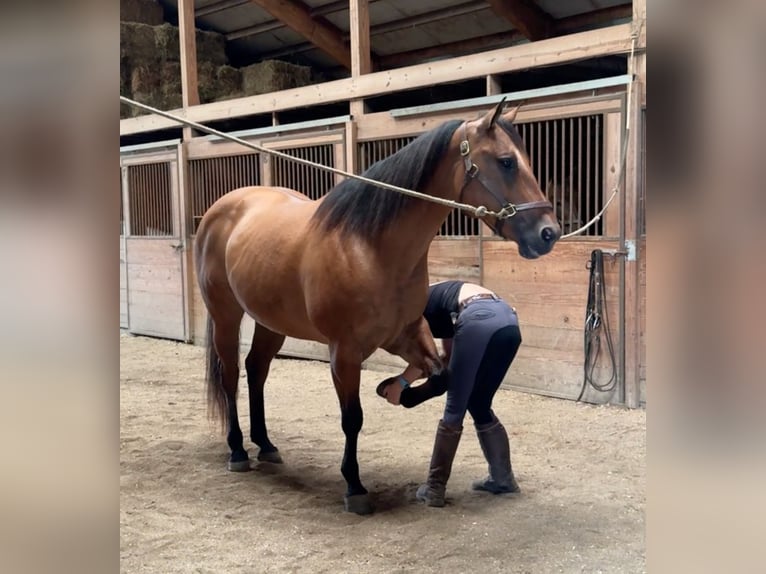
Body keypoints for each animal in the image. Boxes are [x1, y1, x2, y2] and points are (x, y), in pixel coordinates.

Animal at [195, 100, 560, 516]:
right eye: (506, 162)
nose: (548, 232)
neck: (369, 246)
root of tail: (221, 209)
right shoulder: (345, 352)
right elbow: (352, 418)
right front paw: (354, 487)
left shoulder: (405, 333)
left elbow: (441, 376)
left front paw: (396, 391)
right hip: (226, 315)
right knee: (231, 375)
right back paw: (238, 450)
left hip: (271, 321)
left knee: (257, 370)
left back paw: (266, 445)